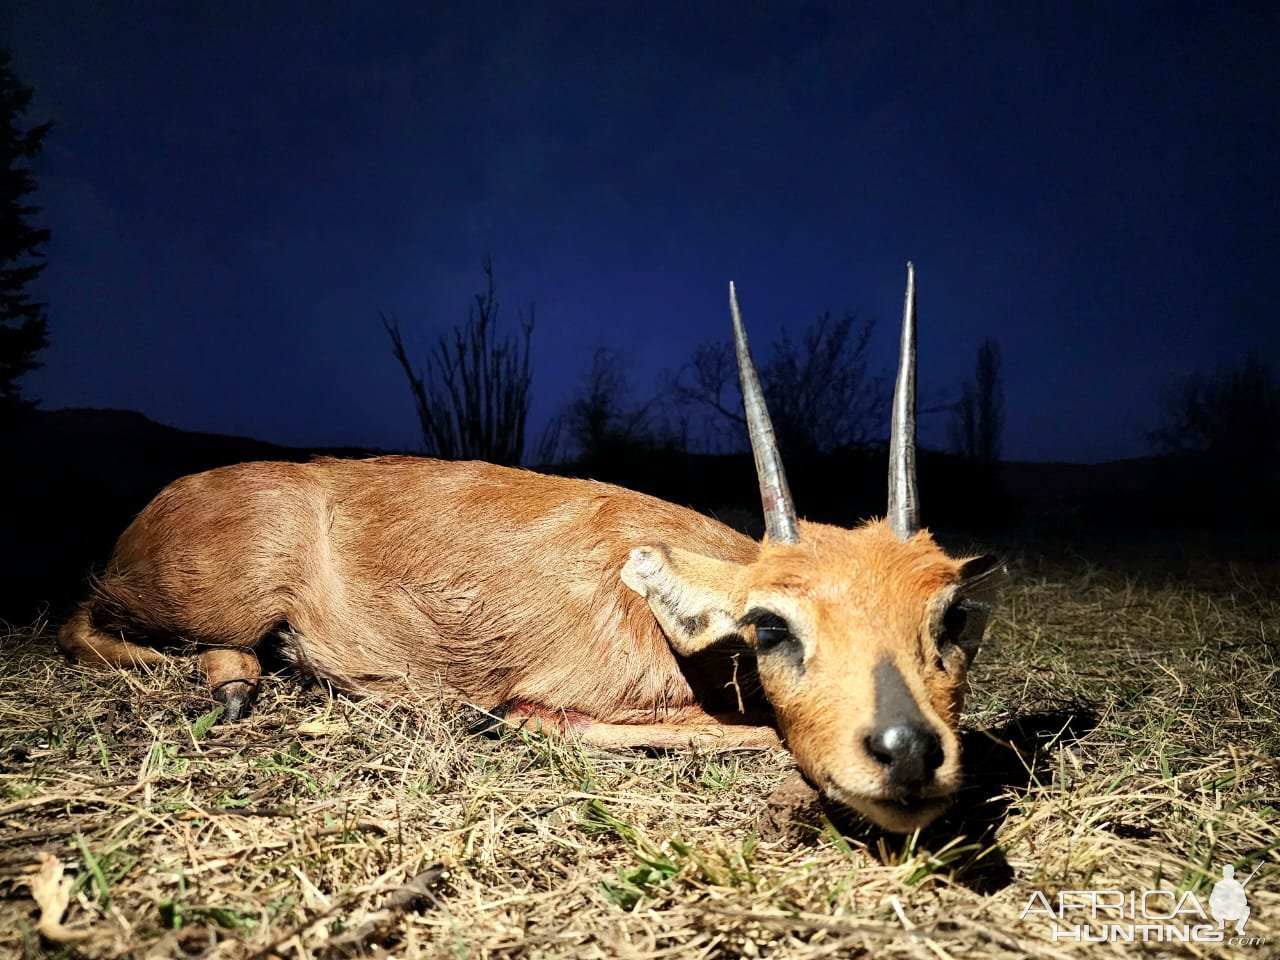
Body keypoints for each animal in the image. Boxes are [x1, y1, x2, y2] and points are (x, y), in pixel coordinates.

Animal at [57, 264, 998, 834]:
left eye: (950, 618)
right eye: (772, 625)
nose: (908, 749)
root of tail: (158, 506)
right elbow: (748, 735)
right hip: (202, 601)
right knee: (80, 622)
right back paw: (235, 684)